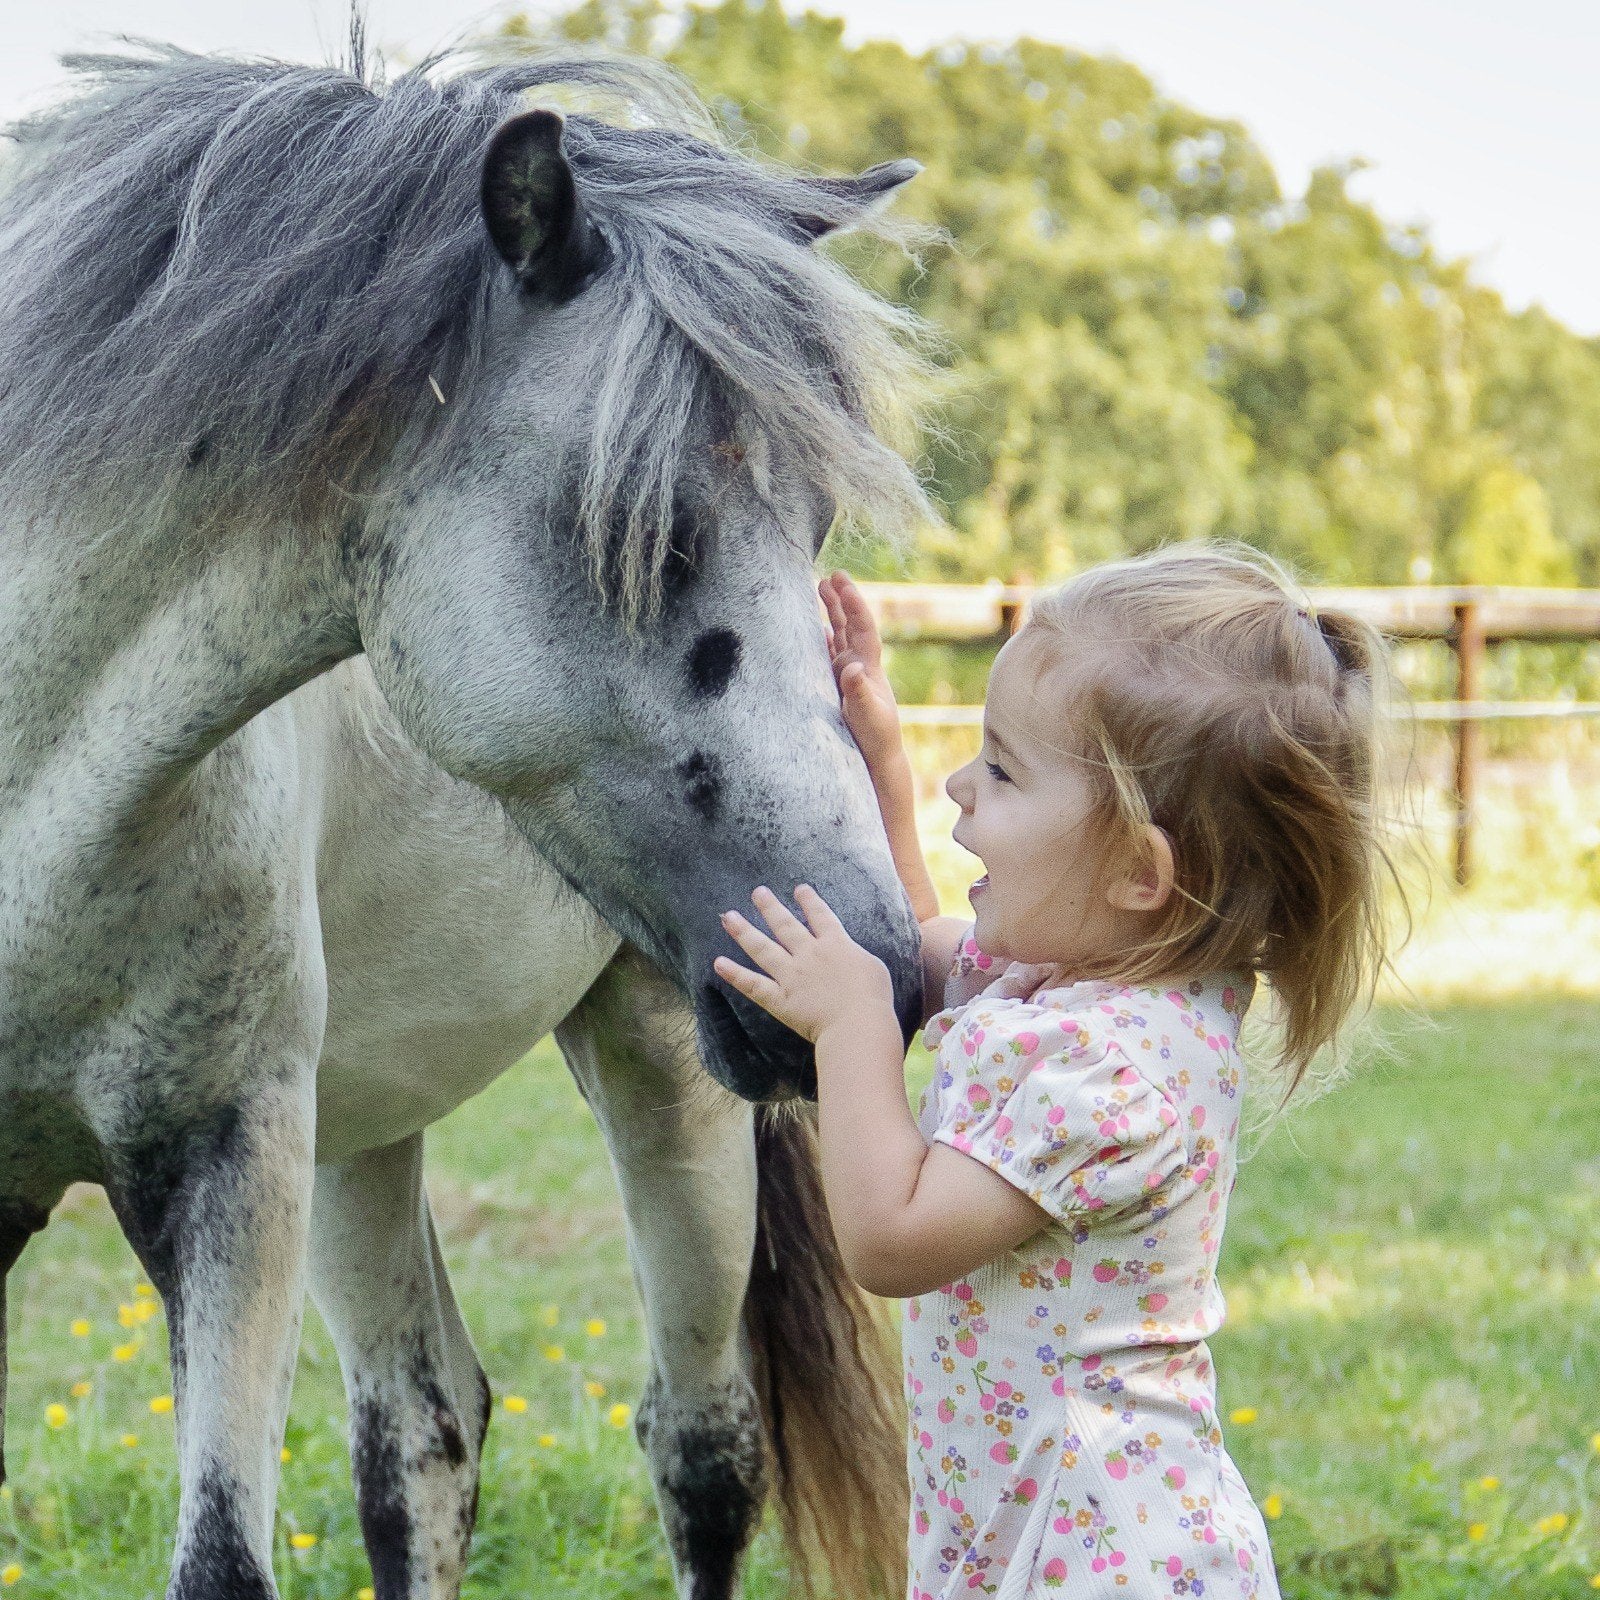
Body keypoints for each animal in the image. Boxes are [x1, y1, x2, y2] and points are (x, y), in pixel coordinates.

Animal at [0, 35, 933, 1600]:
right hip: (361, 1128)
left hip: (658, 1065)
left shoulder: (224, 1155)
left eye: (814, 533)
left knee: (700, 1447)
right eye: (652, 533)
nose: (877, 973)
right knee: (424, 1439)